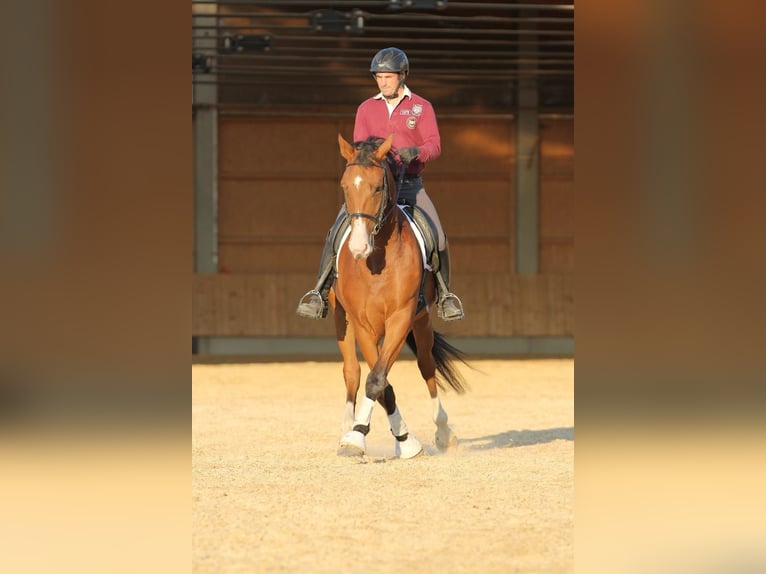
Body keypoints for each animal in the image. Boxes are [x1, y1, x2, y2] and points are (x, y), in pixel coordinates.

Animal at [329, 133, 468, 459]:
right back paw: (345, 428)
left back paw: (443, 433)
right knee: (352, 372)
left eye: (378, 187)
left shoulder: (401, 318)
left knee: (427, 366)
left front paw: (403, 441)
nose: (357, 247)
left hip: (422, 321)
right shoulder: (363, 324)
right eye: (345, 186)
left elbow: (379, 378)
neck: (376, 258)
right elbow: (379, 381)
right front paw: (357, 437)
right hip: (342, 320)